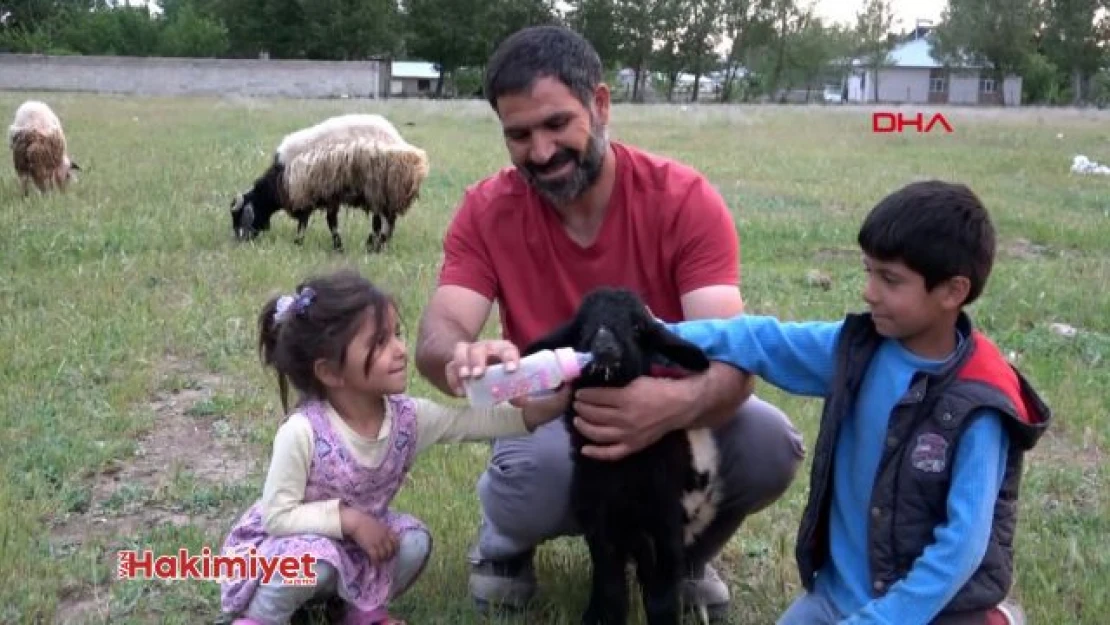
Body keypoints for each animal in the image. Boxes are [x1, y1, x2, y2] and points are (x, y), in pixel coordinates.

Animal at [229, 113, 428, 253]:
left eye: (239, 217)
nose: (239, 243)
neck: (280, 178)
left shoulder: (306, 193)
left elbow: (308, 222)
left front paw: (300, 243)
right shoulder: (329, 195)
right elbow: (330, 222)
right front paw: (337, 246)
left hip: (379, 188)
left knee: (381, 222)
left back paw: (374, 247)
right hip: (385, 193)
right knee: (387, 221)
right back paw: (379, 246)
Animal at [523, 286, 723, 625]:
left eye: (637, 326)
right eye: (582, 328)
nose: (604, 348)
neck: (624, 473)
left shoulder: (665, 521)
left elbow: (662, 595)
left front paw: (664, 618)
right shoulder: (600, 524)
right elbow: (612, 588)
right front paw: (604, 617)